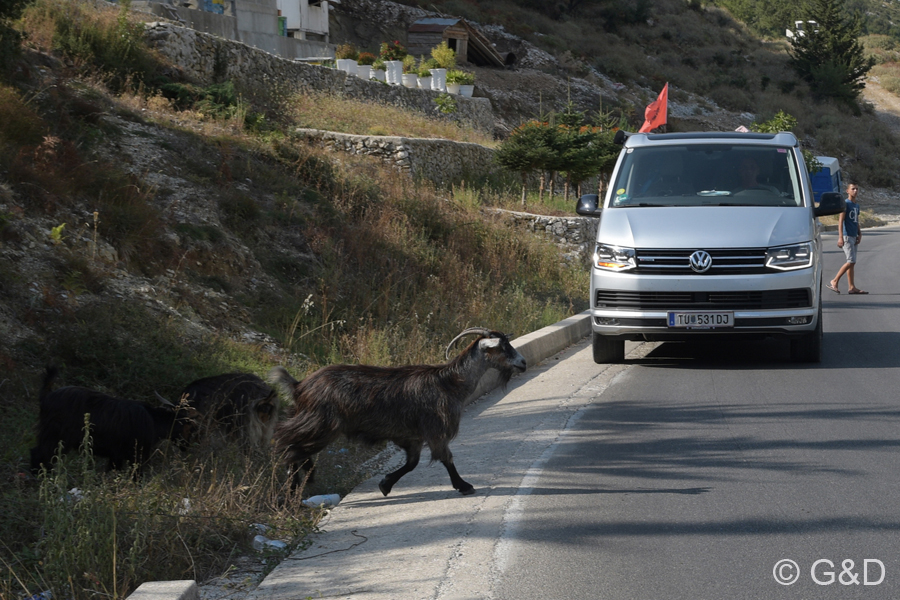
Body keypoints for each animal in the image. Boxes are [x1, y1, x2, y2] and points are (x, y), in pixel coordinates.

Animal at [31, 364, 195, 476]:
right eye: (186, 424)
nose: (187, 446)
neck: (154, 422)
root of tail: (47, 397)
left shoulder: (116, 456)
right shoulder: (134, 456)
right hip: (56, 436)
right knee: (40, 455)